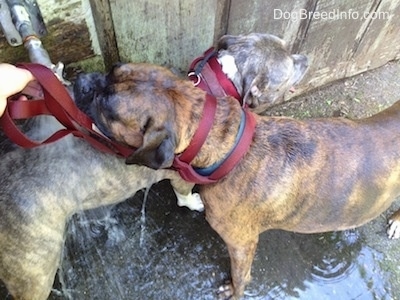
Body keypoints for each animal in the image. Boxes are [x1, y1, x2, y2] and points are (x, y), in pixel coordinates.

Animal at [0, 33, 308, 300]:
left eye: (114, 69)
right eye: (289, 68)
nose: (305, 58)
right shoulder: (181, 176)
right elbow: (184, 195)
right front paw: (194, 203)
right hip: (35, 271)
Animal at [85, 62, 400, 298]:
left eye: (106, 106)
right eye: (113, 69)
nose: (84, 79)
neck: (228, 144)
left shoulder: (241, 244)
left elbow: (241, 276)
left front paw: (234, 291)